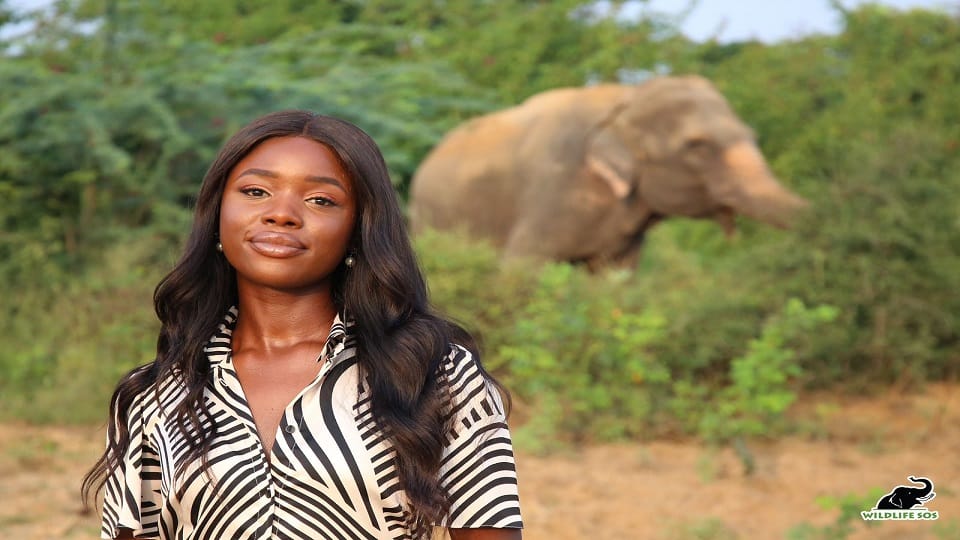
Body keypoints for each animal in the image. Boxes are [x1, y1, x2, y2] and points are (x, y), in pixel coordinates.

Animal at [408, 75, 808, 269]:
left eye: (752, 136)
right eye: (697, 147)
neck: (627, 99)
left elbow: (614, 279)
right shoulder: (551, 192)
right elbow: (521, 267)